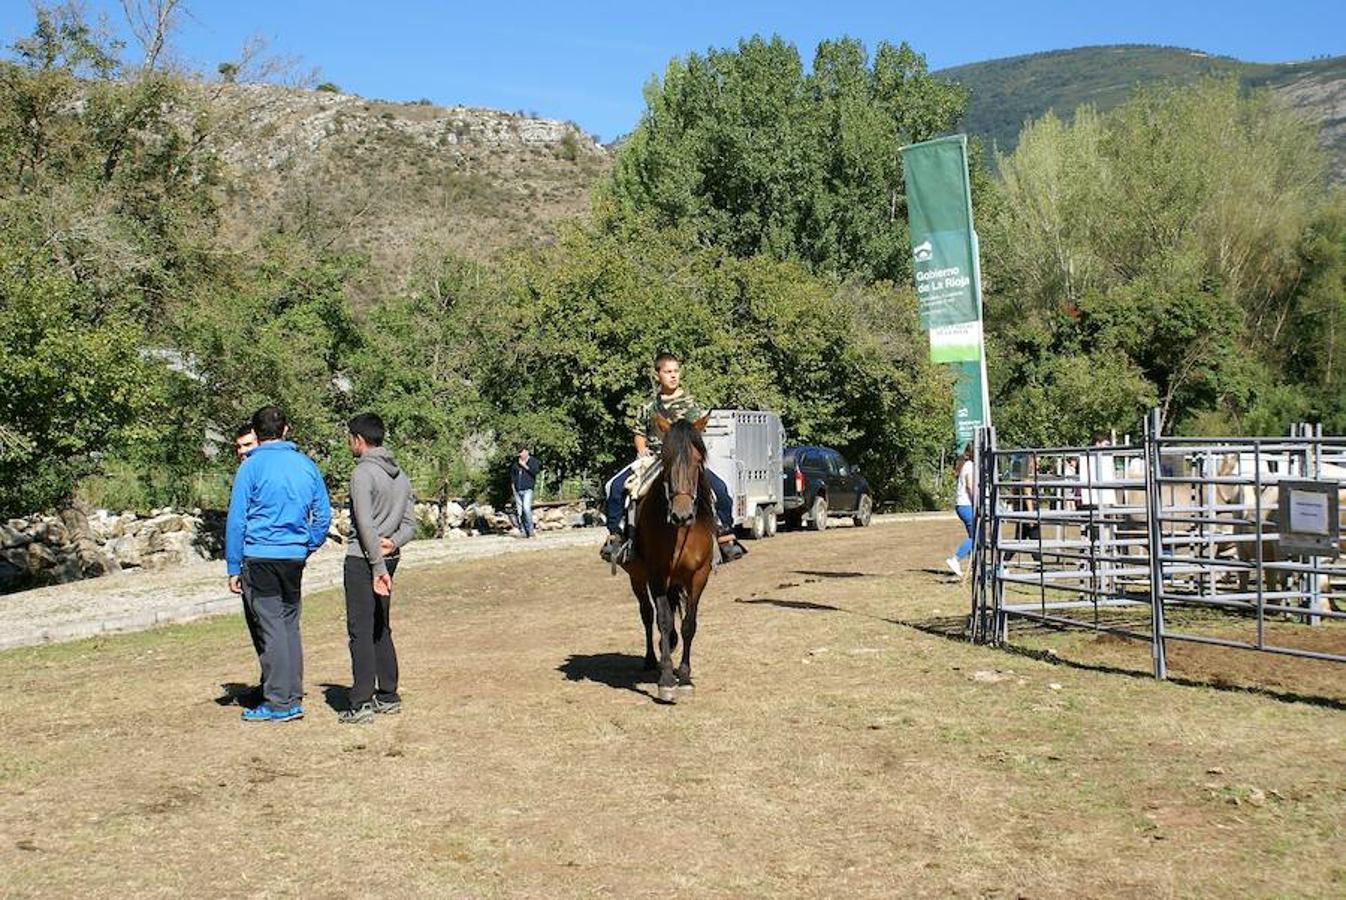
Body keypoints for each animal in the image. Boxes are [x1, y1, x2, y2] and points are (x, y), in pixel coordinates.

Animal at [624, 414, 721, 699]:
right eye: (666, 461)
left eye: (698, 460)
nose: (682, 514)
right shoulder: (657, 574)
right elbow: (664, 621)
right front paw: (667, 679)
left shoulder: (699, 576)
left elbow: (689, 624)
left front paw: (685, 677)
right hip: (637, 576)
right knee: (647, 613)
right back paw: (650, 659)